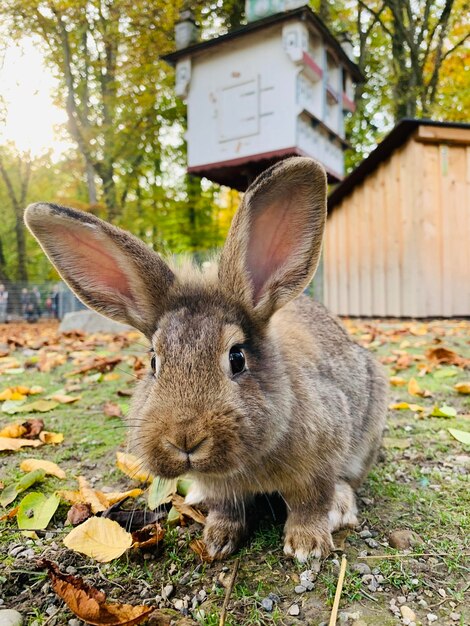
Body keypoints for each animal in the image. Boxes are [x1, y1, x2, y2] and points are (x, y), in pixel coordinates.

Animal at [23, 157, 388, 560]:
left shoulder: (318, 464)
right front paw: (217, 540)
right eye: (154, 362)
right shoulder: (222, 487)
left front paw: (307, 546)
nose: (185, 440)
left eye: (237, 358)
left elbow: (310, 504)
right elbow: (227, 507)